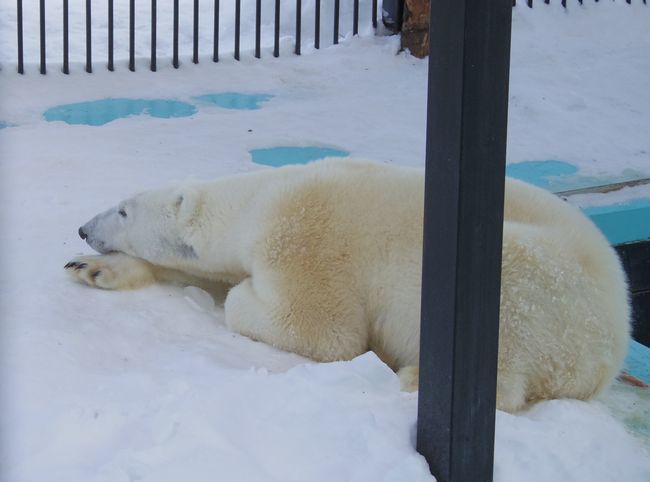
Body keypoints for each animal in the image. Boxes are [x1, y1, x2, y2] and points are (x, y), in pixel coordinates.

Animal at [66, 158, 628, 410]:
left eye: (123, 210)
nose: (84, 228)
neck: (261, 200)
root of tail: (613, 348)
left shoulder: (304, 239)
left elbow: (325, 330)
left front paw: (243, 297)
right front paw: (91, 268)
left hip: (539, 286)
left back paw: (415, 376)